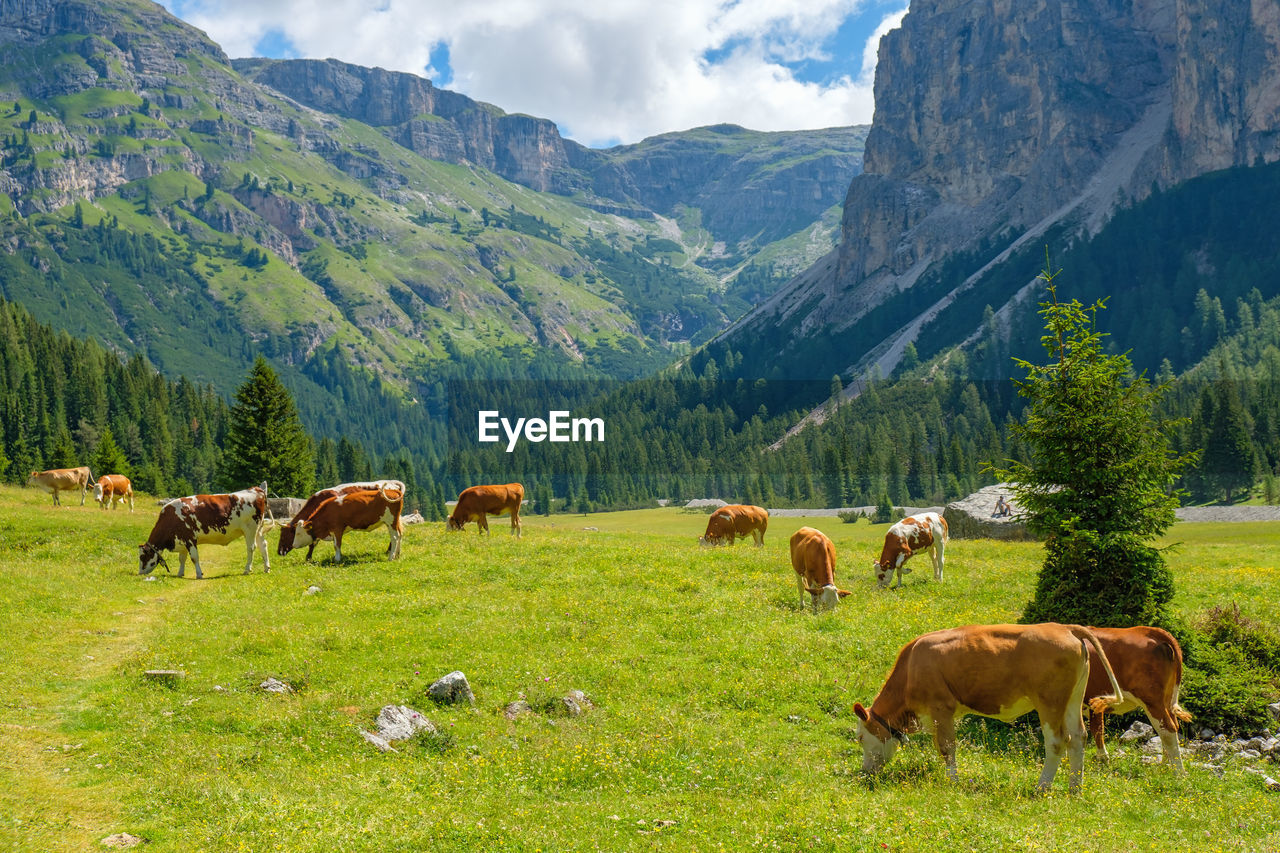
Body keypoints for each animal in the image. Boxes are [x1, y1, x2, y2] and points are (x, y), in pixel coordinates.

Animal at [138, 479, 271, 578]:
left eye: (142, 557)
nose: (140, 573)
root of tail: (256, 489)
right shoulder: (182, 540)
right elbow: (182, 558)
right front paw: (180, 573)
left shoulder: (190, 538)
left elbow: (194, 558)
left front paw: (199, 574)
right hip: (258, 529)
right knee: (263, 545)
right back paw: (267, 568)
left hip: (250, 529)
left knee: (251, 548)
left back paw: (247, 569)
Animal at [860, 617, 1121, 788]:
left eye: (861, 737)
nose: (865, 773)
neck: (912, 665)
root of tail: (1064, 627)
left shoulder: (941, 707)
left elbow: (946, 747)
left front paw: (953, 782)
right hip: (1073, 700)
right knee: (1078, 738)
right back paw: (1075, 788)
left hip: (1050, 702)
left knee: (1057, 741)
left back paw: (1042, 787)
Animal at [1085, 622, 1192, 768]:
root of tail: (1150, 631)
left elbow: (1096, 730)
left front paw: (1103, 762)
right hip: (1166, 699)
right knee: (1171, 727)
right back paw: (1165, 767)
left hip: (1151, 699)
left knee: (1167, 730)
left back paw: (1178, 771)